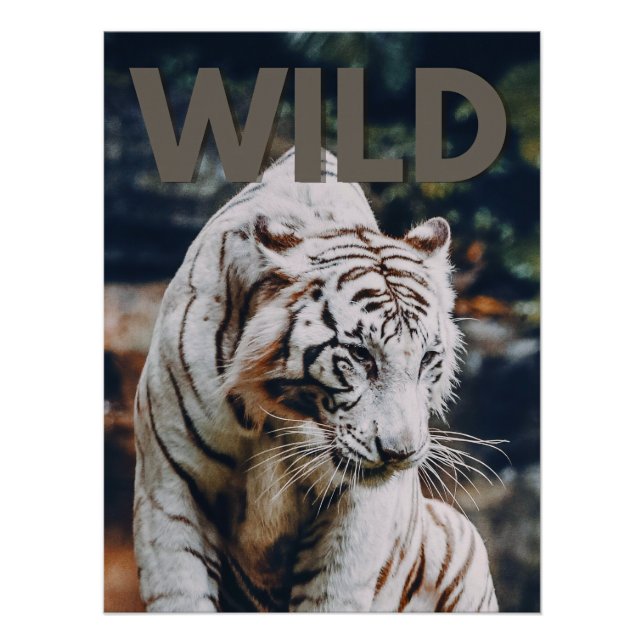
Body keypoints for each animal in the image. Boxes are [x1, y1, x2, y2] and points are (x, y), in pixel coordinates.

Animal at [132, 147, 499, 612]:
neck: (274, 415)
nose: (400, 454)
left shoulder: (357, 509)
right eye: (361, 354)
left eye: (427, 358)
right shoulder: (170, 489)